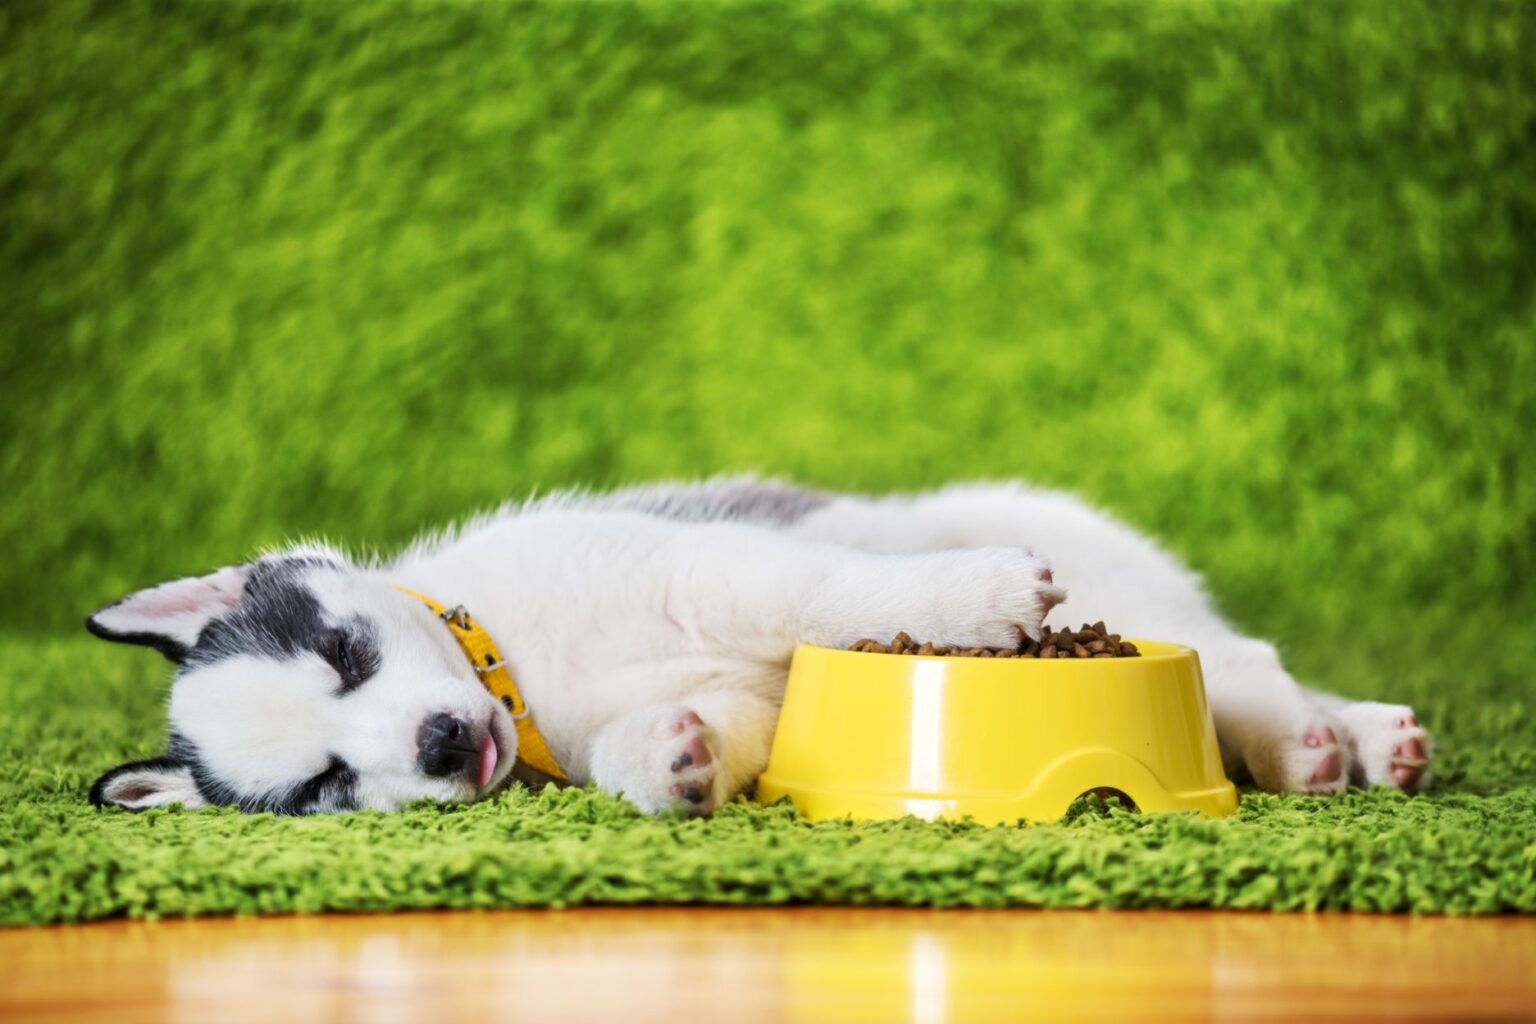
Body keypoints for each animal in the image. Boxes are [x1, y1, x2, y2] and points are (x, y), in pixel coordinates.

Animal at [81, 478, 1425, 816]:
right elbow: (688, 742)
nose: (446, 740)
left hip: (1132, 590)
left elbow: (827, 591)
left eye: (345, 656)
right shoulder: (743, 701)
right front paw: (666, 761)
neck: (517, 669)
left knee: (1246, 665)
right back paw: (1344, 749)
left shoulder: (703, 569)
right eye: (326, 783)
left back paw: (1325, 739)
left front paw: (980, 593)